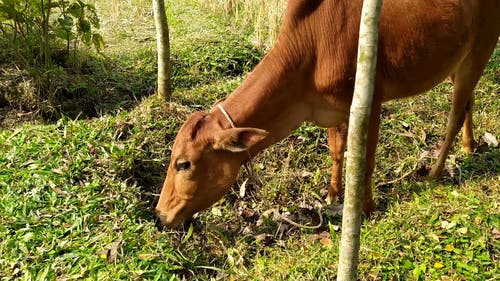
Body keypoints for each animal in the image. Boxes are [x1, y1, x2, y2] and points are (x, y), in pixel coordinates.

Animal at [154, 0, 498, 228]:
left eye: (183, 164)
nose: (159, 215)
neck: (311, 48)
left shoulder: (369, 102)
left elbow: (365, 160)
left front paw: (367, 208)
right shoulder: (332, 110)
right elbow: (336, 152)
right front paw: (333, 195)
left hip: (480, 50)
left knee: (455, 114)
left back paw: (436, 172)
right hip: (458, 62)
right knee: (468, 102)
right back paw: (468, 146)